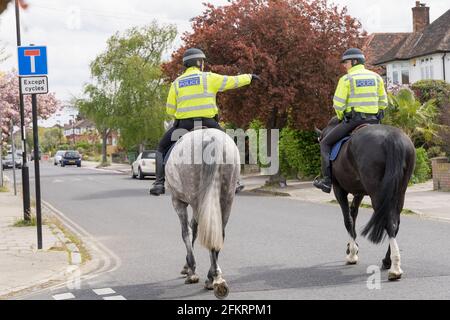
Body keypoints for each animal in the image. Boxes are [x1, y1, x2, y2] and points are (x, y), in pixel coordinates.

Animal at [165, 129, 241, 298]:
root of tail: (211, 138)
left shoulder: (178, 202)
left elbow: (187, 232)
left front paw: (190, 269)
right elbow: (194, 229)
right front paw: (189, 267)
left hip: (195, 197)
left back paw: (213, 278)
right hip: (226, 198)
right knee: (219, 233)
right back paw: (215, 278)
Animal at [316, 117, 414, 280]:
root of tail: (392, 138)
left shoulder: (338, 189)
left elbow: (348, 220)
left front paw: (352, 254)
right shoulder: (359, 192)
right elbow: (353, 213)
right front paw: (352, 247)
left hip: (378, 194)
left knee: (388, 222)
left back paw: (394, 268)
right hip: (399, 192)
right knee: (395, 223)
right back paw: (388, 261)